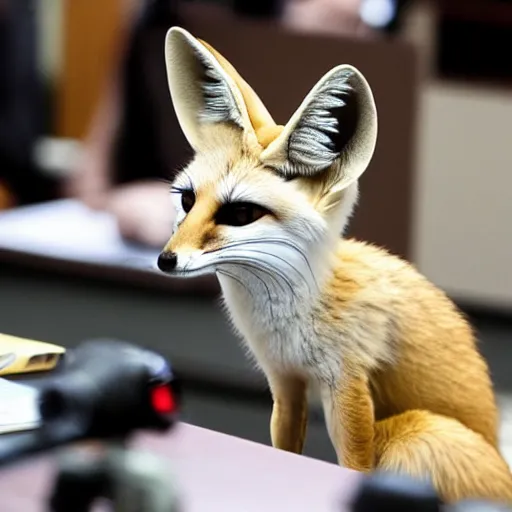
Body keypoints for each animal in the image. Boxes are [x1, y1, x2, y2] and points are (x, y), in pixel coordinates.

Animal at [155, 26, 512, 502]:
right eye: (187, 200)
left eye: (241, 213)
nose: (165, 260)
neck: (293, 313)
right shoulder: (284, 380)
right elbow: (285, 448)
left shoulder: (348, 381)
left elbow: (353, 465)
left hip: (415, 436)